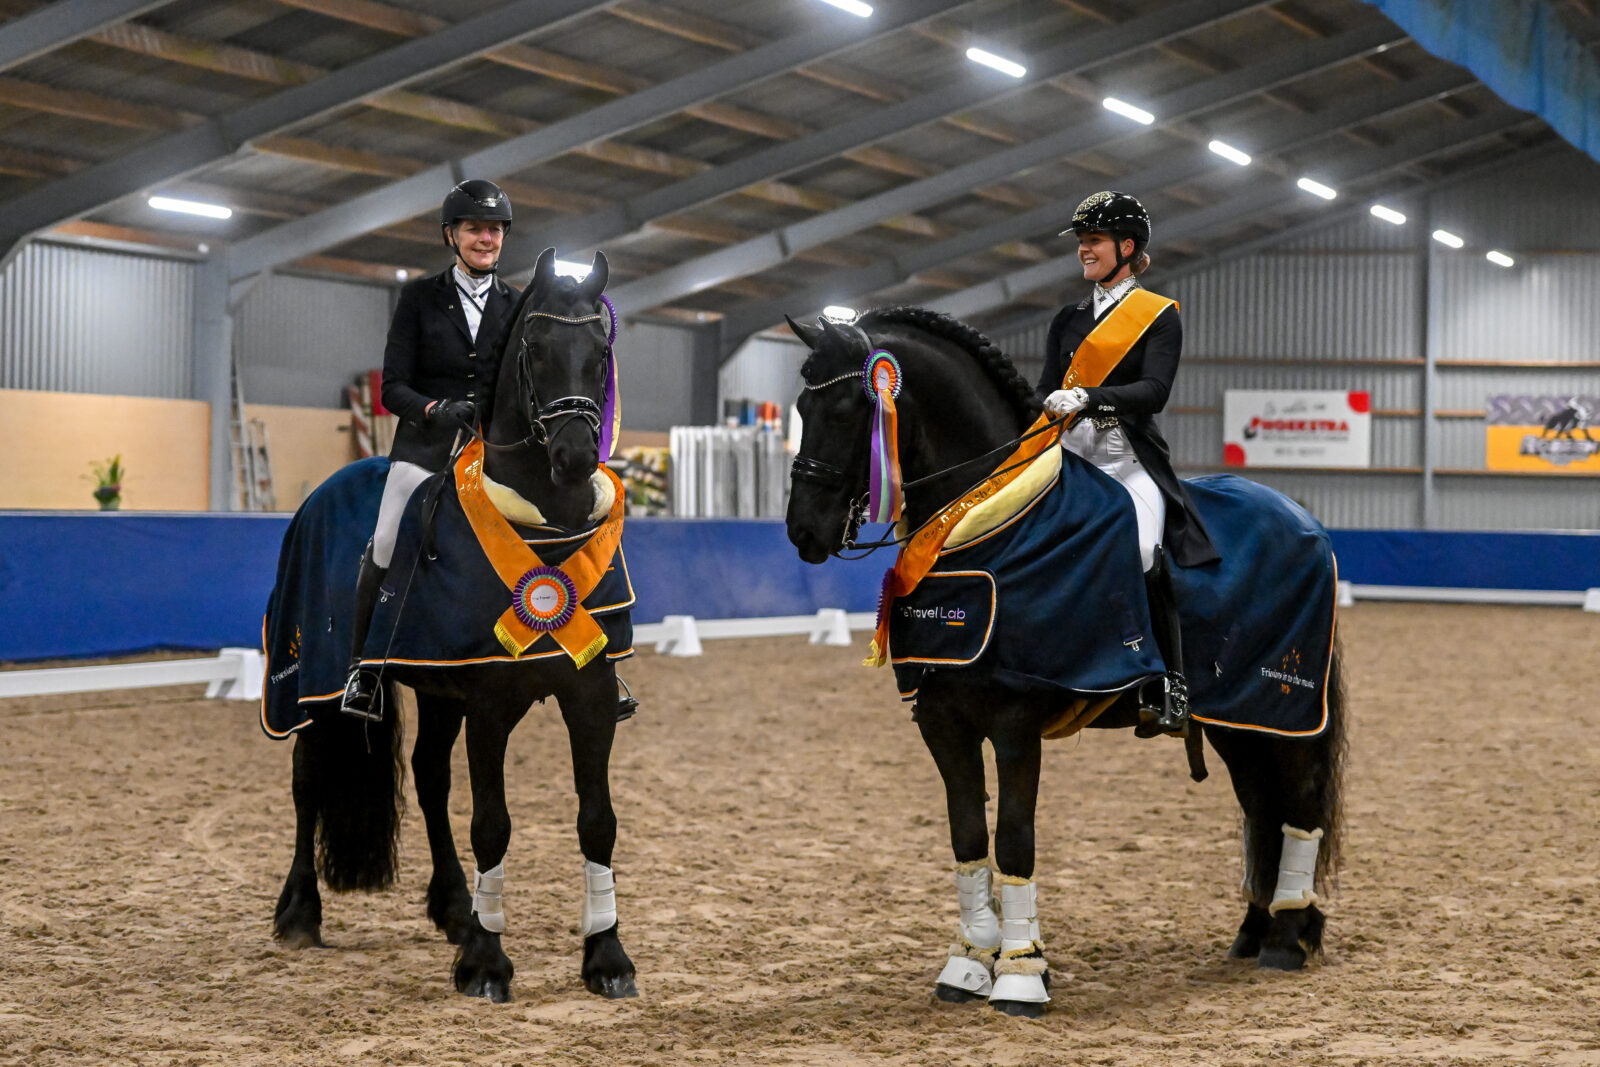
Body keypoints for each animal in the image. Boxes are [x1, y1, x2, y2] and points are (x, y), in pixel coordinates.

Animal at [266, 248, 638, 1003]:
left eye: (600, 352)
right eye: (534, 348)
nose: (576, 459)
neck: (545, 523)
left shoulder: (586, 694)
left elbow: (598, 819)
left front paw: (606, 956)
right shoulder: (491, 701)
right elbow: (492, 823)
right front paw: (487, 965)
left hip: (439, 691)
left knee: (429, 777)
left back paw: (456, 908)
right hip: (318, 688)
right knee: (307, 777)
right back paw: (300, 912)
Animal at [784, 308, 1346, 1017]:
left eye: (846, 409)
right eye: (801, 407)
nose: (804, 531)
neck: (987, 525)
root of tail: (1302, 518)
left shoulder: (1016, 723)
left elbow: (1013, 839)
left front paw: (1022, 974)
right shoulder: (943, 723)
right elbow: (968, 839)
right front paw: (968, 964)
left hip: (1287, 705)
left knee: (1298, 801)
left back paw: (1290, 938)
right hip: (1237, 719)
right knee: (1259, 808)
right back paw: (1252, 932)